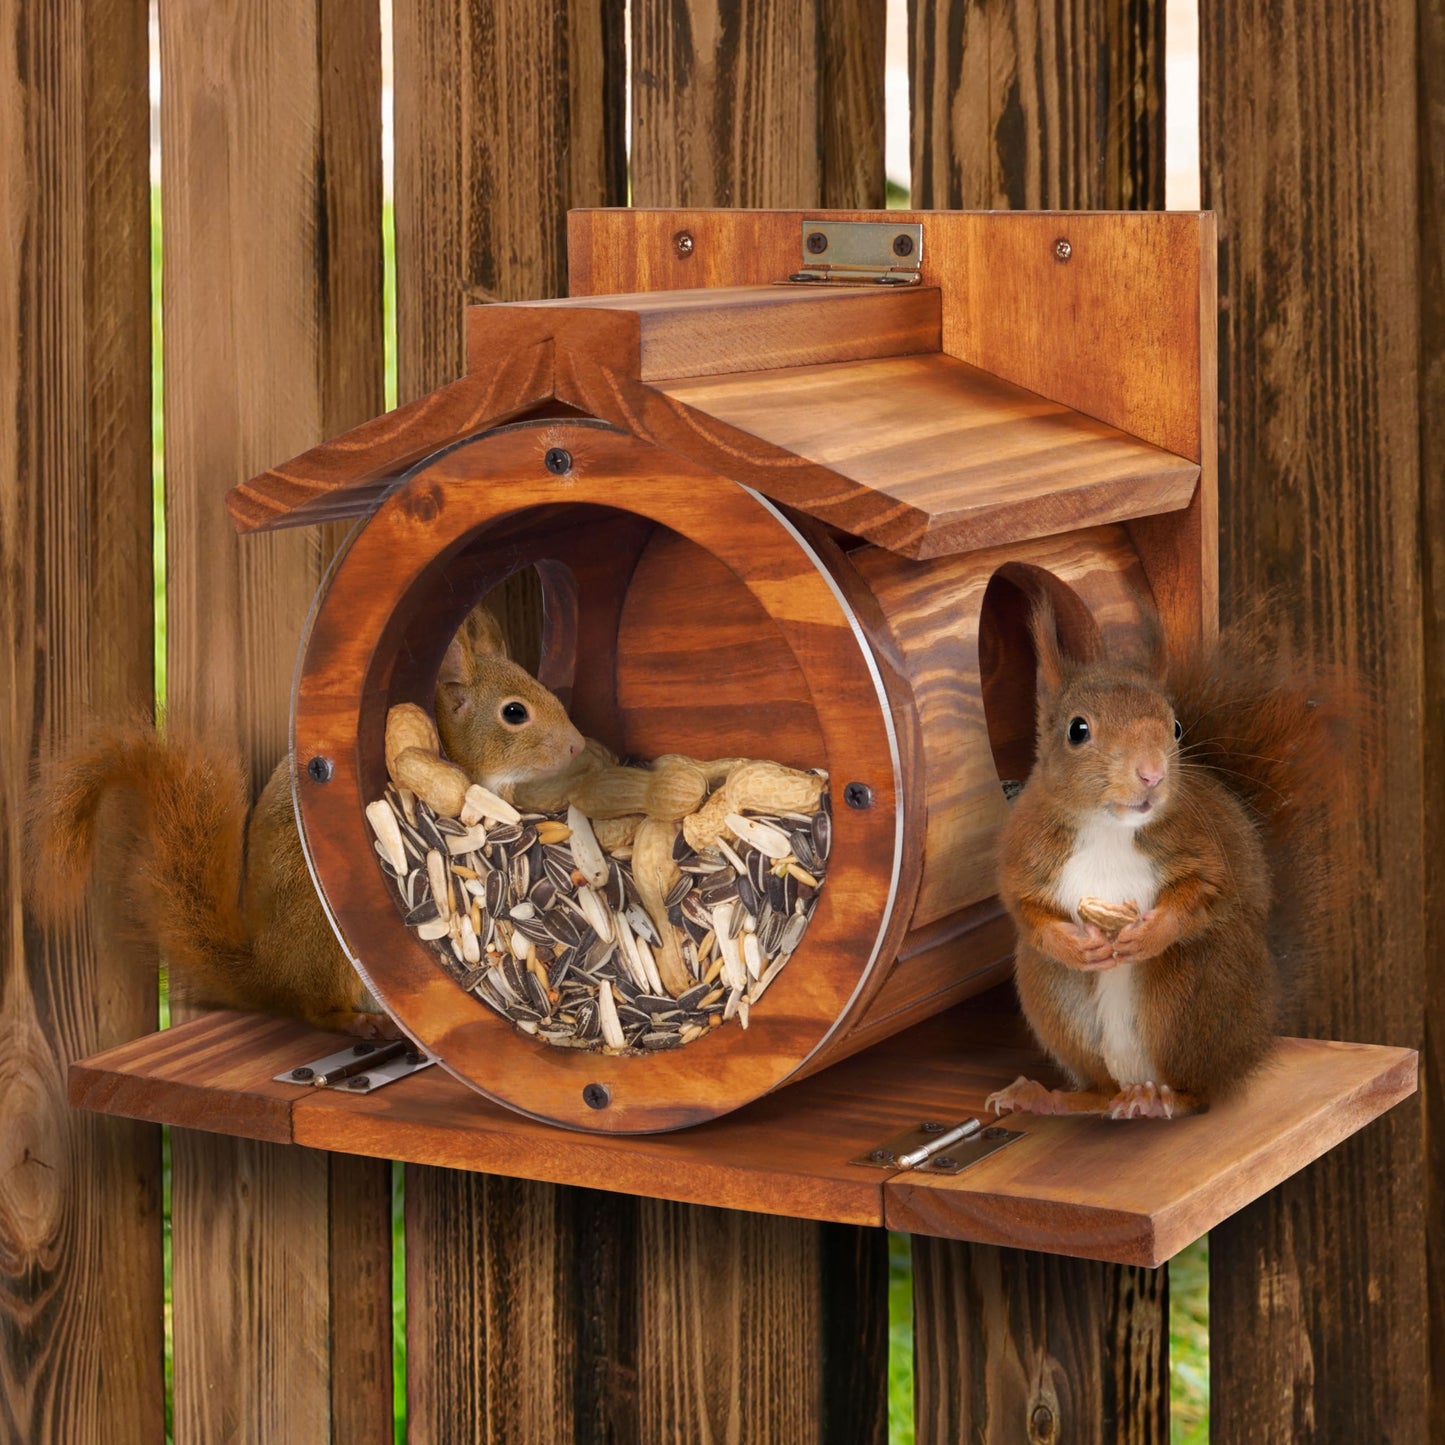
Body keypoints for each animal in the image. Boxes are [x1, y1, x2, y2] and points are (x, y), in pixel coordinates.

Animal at [27, 605, 585, 1037]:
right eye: (515, 713)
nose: (578, 745)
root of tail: (270, 976)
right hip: (327, 940)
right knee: (315, 1009)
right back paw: (357, 1022)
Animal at [986, 594, 1366, 1121]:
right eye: (1077, 730)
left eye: (1177, 727)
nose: (1152, 773)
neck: (1109, 829)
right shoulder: (1025, 854)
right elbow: (1026, 911)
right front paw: (1075, 945)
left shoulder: (1205, 848)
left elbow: (1206, 892)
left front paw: (1149, 934)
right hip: (1053, 993)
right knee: (1099, 1090)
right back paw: (1049, 1096)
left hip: (1194, 990)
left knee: (1200, 1090)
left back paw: (1161, 1099)